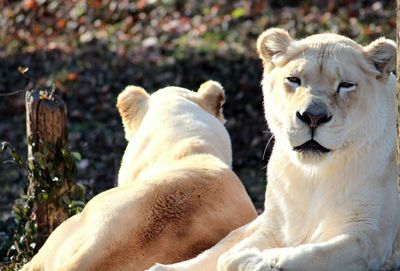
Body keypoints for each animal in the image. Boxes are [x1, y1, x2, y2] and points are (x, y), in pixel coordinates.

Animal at [148, 28, 400, 271]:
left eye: (346, 85)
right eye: (294, 79)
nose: (313, 117)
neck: (313, 176)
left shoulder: (370, 239)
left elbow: (316, 254)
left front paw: (261, 260)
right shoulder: (275, 226)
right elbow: (227, 254)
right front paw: (249, 258)